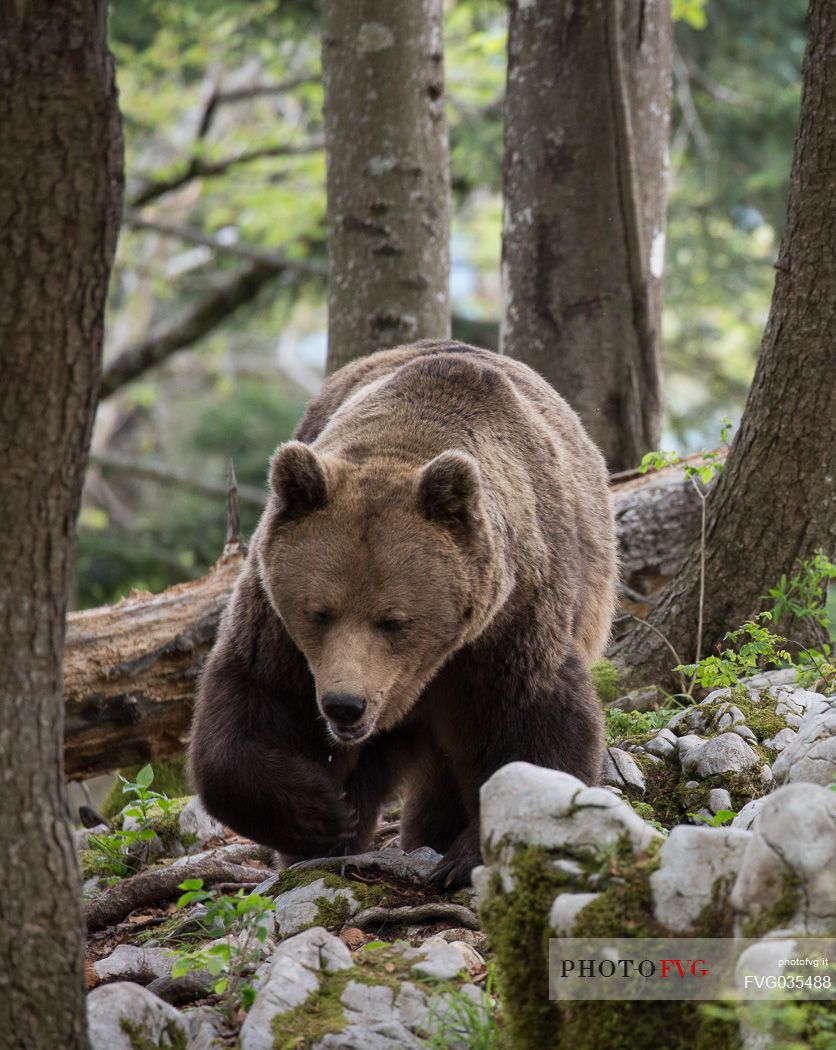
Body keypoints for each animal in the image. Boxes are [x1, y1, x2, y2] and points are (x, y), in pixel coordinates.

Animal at [191, 340, 621, 881]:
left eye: (394, 620)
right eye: (320, 612)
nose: (344, 704)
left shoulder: (510, 618)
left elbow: (533, 722)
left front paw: (468, 854)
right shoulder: (278, 625)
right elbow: (256, 705)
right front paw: (323, 814)